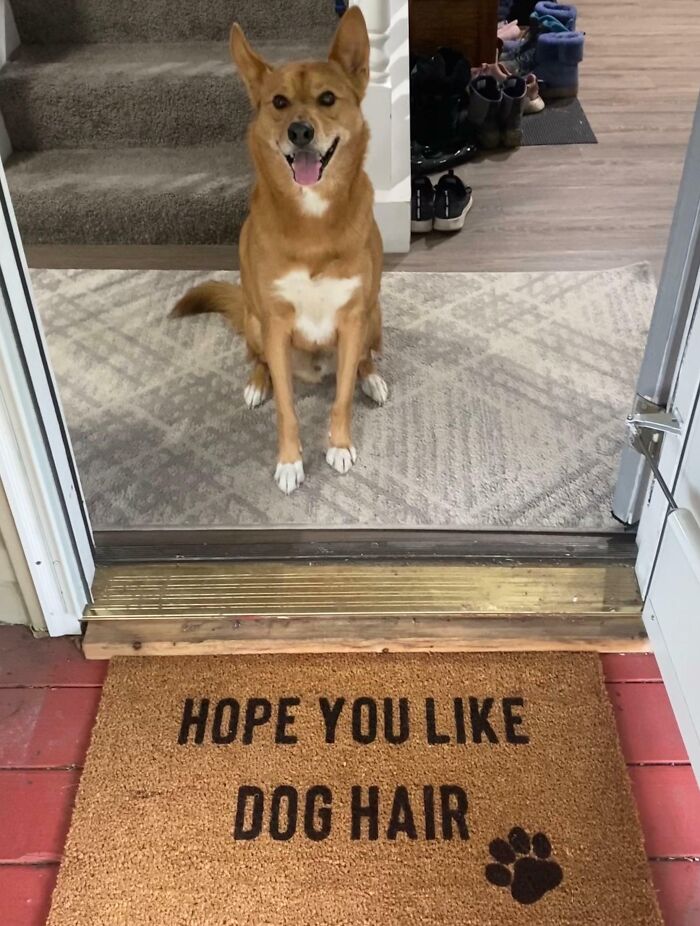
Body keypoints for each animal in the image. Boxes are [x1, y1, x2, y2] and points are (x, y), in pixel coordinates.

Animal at [172, 7, 386, 496]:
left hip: (374, 314)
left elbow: (342, 396)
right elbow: (287, 408)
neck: (312, 221)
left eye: (327, 98)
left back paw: (372, 378)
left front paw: (339, 445)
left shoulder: (352, 319)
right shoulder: (276, 324)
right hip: (255, 321)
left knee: (365, 359)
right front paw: (290, 461)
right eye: (279, 102)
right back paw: (256, 384)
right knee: (261, 362)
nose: (300, 131)